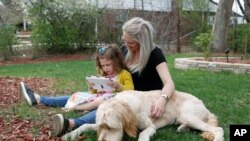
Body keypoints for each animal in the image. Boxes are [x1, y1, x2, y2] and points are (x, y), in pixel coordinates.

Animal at [61, 90, 224, 141]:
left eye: (110, 127)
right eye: (102, 126)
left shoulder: (150, 127)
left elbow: (143, 134)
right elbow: (85, 125)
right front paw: (68, 135)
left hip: (188, 115)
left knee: (218, 129)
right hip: (184, 118)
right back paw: (182, 128)